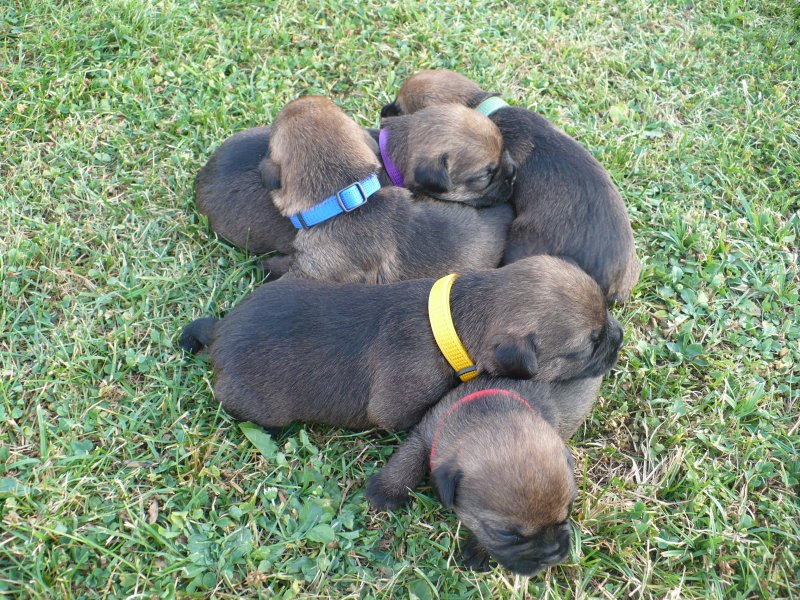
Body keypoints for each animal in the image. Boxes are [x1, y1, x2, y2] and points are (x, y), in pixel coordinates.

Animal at [366, 376, 602, 575]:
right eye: (505, 534)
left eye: (568, 511)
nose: (552, 554)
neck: (492, 412)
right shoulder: (427, 431)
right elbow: (409, 457)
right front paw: (387, 489)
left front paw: (479, 552)